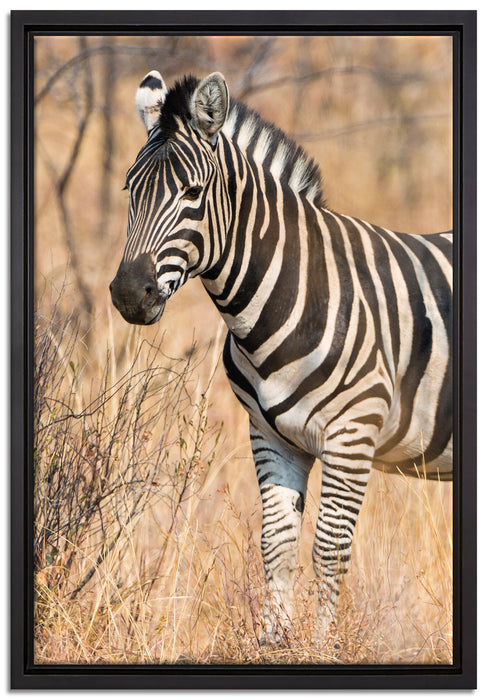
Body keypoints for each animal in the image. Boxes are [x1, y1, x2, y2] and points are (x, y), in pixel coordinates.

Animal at [110, 70, 452, 641]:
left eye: (192, 192)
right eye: (128, 191)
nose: (129, 294)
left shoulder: (351, 435)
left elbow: (329, 551)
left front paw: (324, 646)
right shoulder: (271, 436)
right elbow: (278, 544)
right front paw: (275, 642)